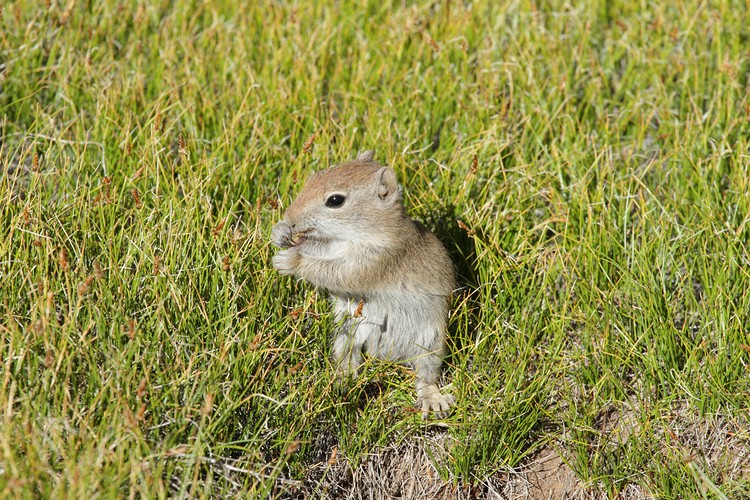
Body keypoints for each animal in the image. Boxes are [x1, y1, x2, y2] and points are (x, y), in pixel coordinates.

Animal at [271, 151, 456, 418]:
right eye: (315, 176)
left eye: (335, 200)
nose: (289, 217)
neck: (362, 233)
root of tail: (389, 356)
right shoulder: (334, 246)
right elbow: (317, 246)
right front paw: (279, 233)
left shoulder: (375, 261)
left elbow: (335, 273)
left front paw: (292, 260)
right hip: (348, 334)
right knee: (350, 358)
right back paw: (340, 382)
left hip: (431, 342)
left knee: (425, 375)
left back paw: (432, 400)